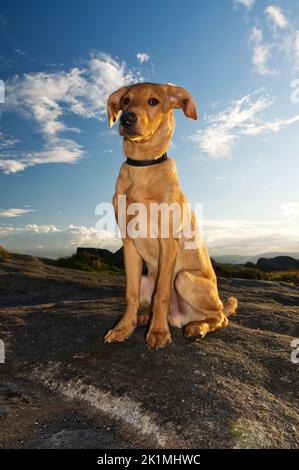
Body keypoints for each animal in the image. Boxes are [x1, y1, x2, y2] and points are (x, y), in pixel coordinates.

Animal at [104, 82, 238, 348]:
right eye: (125, 101)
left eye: (153, 101)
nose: (126, 118)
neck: (143, 166)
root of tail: (180, 318)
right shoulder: (128, 242)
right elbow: (130, 293)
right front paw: (123, 328)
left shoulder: (168, 242)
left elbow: (163, 293)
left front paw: (158, 333)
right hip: (148, 279)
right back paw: (145, 318)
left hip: (185, 279)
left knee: (220, 317)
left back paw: (196, 327)